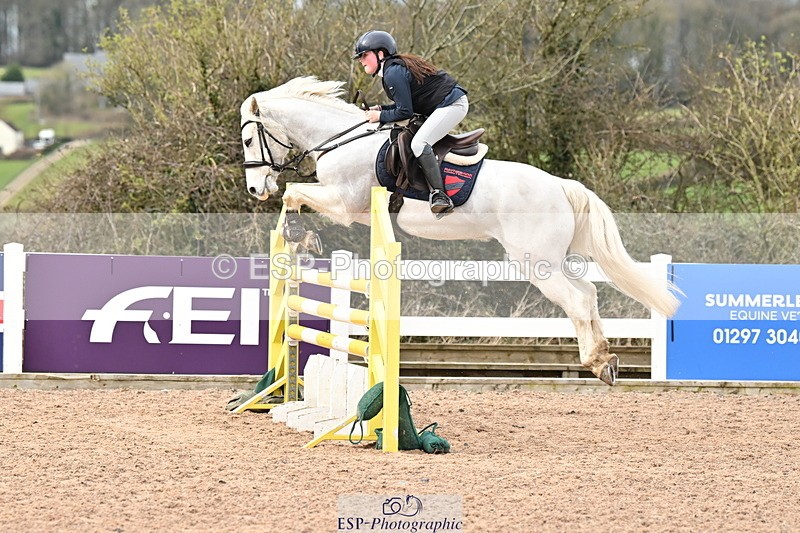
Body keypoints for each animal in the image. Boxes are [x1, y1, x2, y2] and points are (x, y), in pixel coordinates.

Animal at [239, 76, 680, 385]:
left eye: (247, 139)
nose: (256, 190)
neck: (339, 141)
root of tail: (560, 186)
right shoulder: (354, 209)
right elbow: (295, 194)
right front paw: (301, 234)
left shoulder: (344, 203)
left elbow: (293, 193)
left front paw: (300, 233)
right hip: (554, 259)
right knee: (588, 294)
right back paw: (606, 360)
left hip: (534, 262)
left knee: (575, 299)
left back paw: (595, 361)